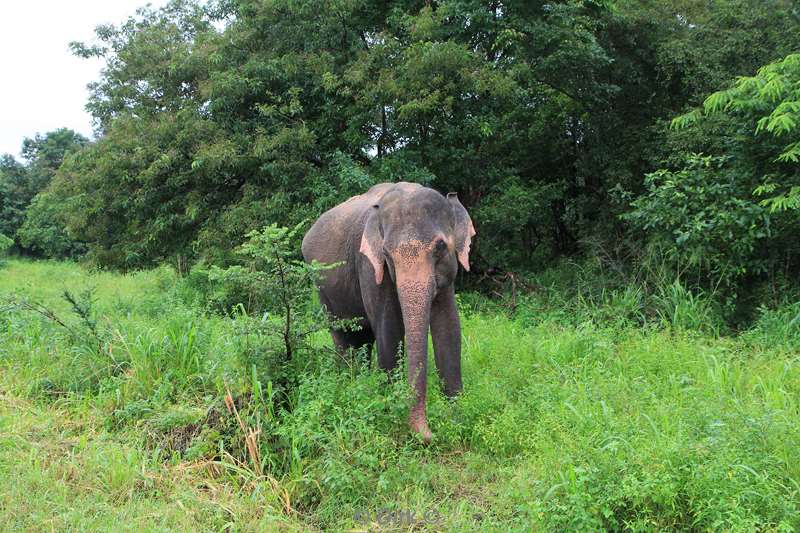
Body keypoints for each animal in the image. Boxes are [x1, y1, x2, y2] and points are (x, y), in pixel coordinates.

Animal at [300, 182, 476, 440]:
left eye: (441, 246)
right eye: (386, 254)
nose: (430, 435)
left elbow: (449, 326)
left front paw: (456, 414)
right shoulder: (368, 266)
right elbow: (389, 327)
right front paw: (390, 410)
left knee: (362, 339)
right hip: (321, 286)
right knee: (343, 338)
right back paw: (348, 384)